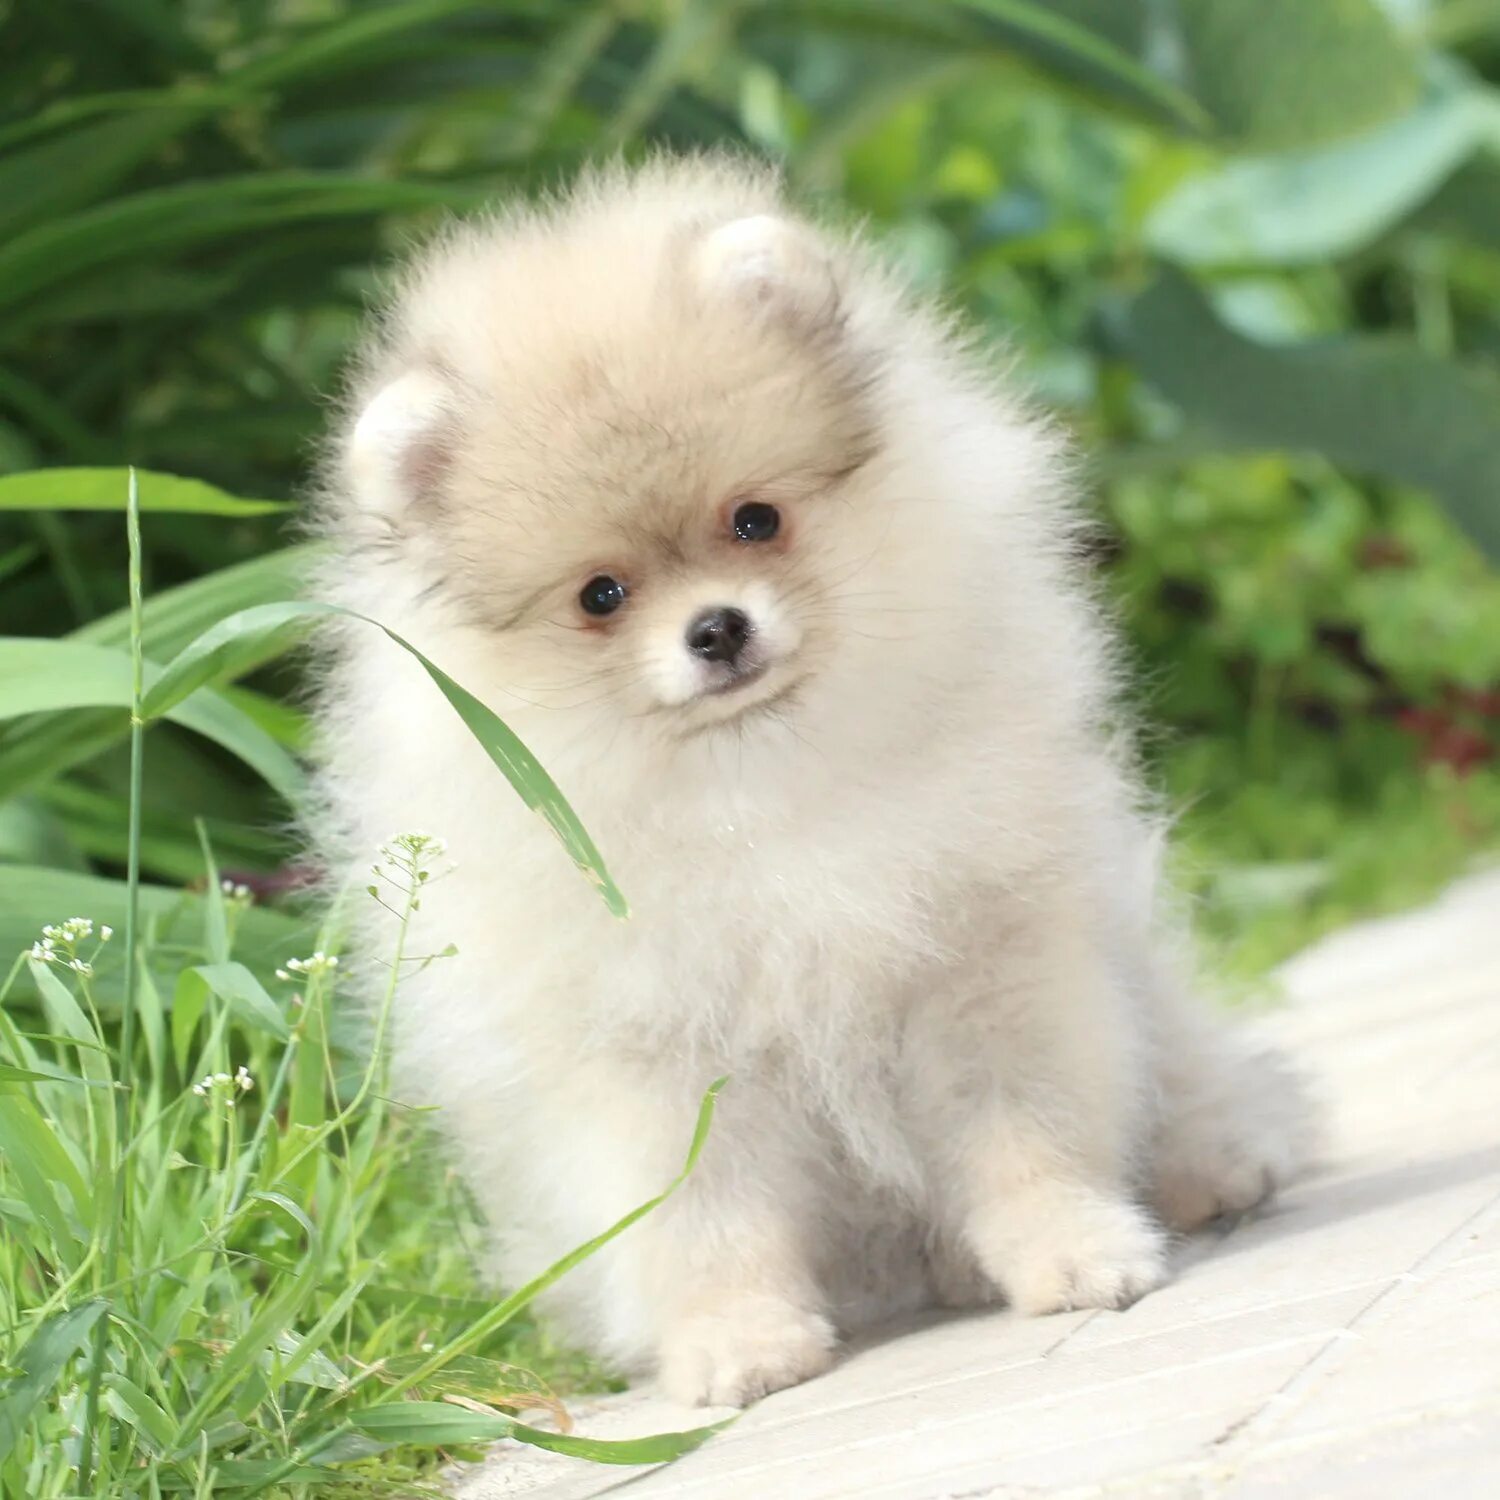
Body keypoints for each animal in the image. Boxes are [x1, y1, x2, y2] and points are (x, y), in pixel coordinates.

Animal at [307, 152, 1314, 1404]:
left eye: (756, 519)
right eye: (601, 595)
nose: (716, 629)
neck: (763, 791)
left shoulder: (982, 956)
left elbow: (1026, 1130)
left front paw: (1075, 1250)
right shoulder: (653, 1057)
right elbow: (702, 1216)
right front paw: (738, 1343)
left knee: (1186, 1067)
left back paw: (1213, 1164)